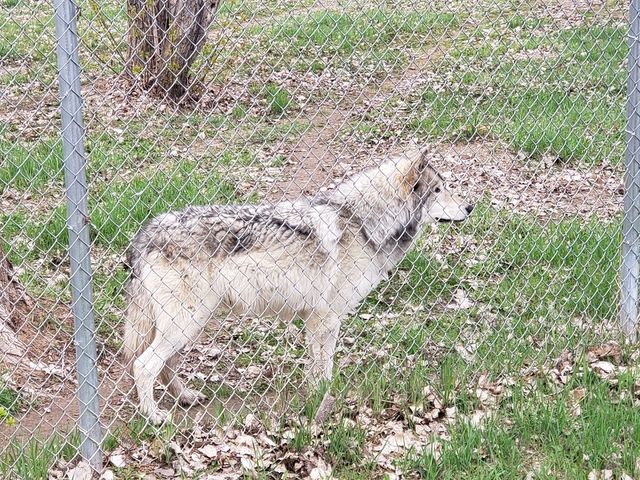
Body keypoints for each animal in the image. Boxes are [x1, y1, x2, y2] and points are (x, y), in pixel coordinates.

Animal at [122, 146, 473, 424]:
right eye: (438, 190)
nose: (470, 207)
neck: (362, 224)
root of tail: (146, 233)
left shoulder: (314, 319)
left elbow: (315, 367)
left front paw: (319, 398)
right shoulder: (327, 318)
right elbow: (324, 367)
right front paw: (325, 399)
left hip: (188, 324)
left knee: (165, 365)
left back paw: (185, 397)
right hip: (186, 322)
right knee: (144, 365)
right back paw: (153, 416)